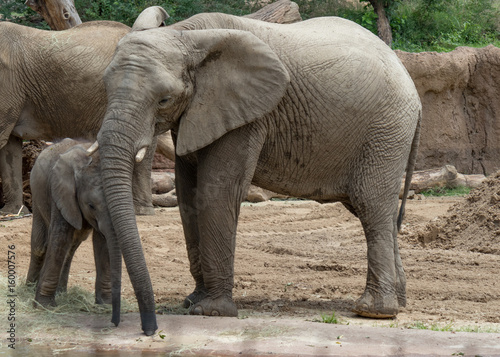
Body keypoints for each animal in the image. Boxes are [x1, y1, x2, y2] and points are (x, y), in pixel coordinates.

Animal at [26, 138, 121, 326]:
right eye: (91, 205)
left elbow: (103, 242)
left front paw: (105, 304)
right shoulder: (61, 194)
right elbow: (60, 238)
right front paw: (45, 306)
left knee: (71, 248)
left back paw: (61, 293)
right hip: (37, 194)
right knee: (40, 247)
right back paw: (27, 290)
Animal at [94, 10, 422, 334]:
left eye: (164, 99)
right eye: (105, 88)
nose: (147, 328)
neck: (184, 33)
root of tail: (414, 90)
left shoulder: (246, 116)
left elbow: (217, 191)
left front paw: (211, 311)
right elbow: (188, 194)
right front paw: (193, 301)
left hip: (385, 131)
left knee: (371, 207)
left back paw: (373, 311)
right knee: (376, 213)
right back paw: (400, 302)